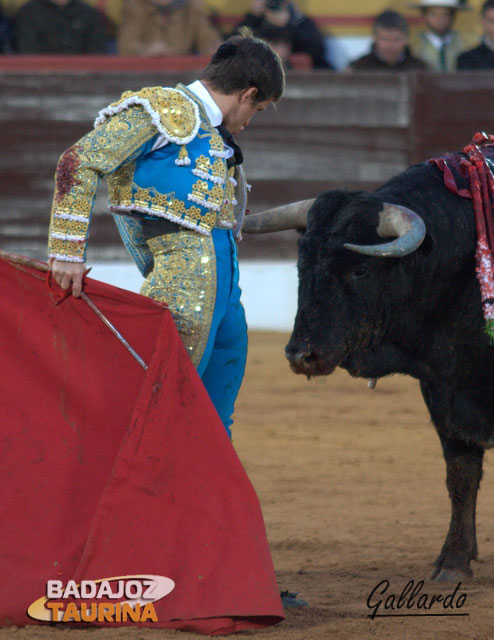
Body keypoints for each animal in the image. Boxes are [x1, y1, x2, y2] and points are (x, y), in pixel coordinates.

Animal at [242, 156, 494, 580]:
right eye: (301, 265)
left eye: (360, 270)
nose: (301, 355)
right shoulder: (442, 386)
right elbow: (461, 473)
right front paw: (455, 561)